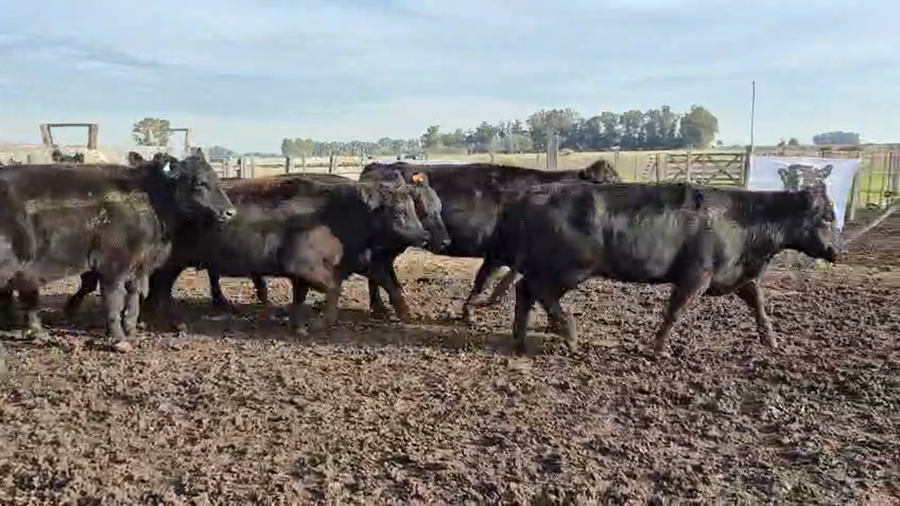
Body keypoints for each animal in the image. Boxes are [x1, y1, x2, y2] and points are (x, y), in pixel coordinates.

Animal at [0, 149, 236, 352]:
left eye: (216, 178)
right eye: (199, 183)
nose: (230, 212)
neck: (148, 199)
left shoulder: (139, 263)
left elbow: (135, 294)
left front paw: (130, 328)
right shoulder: (113, 263)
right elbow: (114, 298)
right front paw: (118, 337)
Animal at [355, 159, 622, 323]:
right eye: (609, 183)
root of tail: (377, 165)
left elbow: (500, 283)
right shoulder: (498, 251)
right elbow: (484, 281)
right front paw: (470, 313)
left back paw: (380, 307)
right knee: (377, 268)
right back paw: (382, 307)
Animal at [480, 181, 837, 356]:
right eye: (827, 218)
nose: (837, 250)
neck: (742, 219)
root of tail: (535, 194)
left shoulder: (734, 275)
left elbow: (758, 303)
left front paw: (772, 341)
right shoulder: (697, 276)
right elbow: (676, 311)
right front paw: (658, 349)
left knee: (525, 290)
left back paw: (521, 339)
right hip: (569, 267)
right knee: (540, 292)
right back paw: (568, 334)